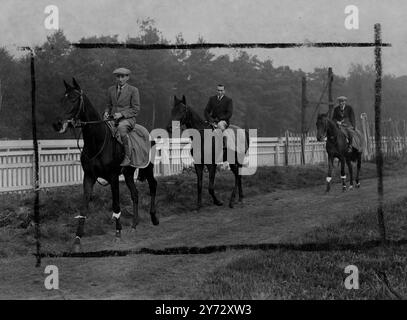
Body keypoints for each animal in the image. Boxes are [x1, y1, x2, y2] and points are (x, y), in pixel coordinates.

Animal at [52, 78, 158, 252]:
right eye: (62, 99)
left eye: (74, 99)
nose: (57, 124)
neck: (98, 141)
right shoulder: (89, 177)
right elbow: (84, 207)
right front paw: (77, 239)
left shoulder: (113, 177)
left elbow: (116, 205)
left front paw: (118, 234)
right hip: (128, 174)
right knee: (135, 194)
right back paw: (134, 226)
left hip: (147, 169)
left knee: (153, 186)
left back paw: (154, 218)